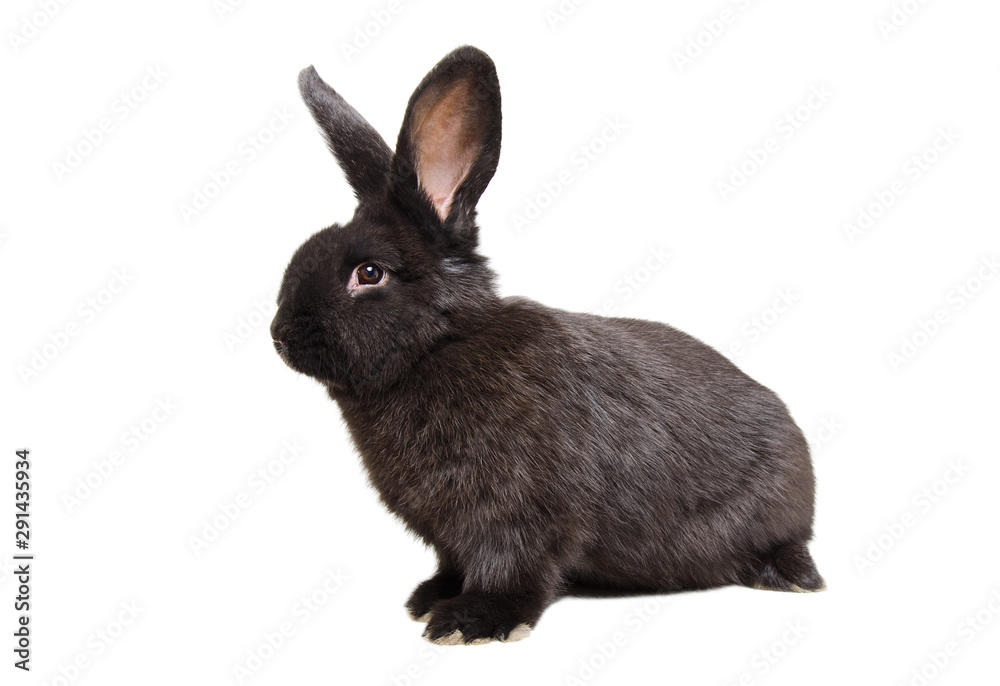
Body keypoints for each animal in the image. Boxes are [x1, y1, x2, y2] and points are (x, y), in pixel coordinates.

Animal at [270, 45, 824, 646]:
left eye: (369, 273)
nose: (278, 334)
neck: (439, 347)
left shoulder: (517, 515)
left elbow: (510, 566)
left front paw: (471, 622)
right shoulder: (452, 533)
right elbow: (454, 562)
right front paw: (430, 599)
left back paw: (794, 577)